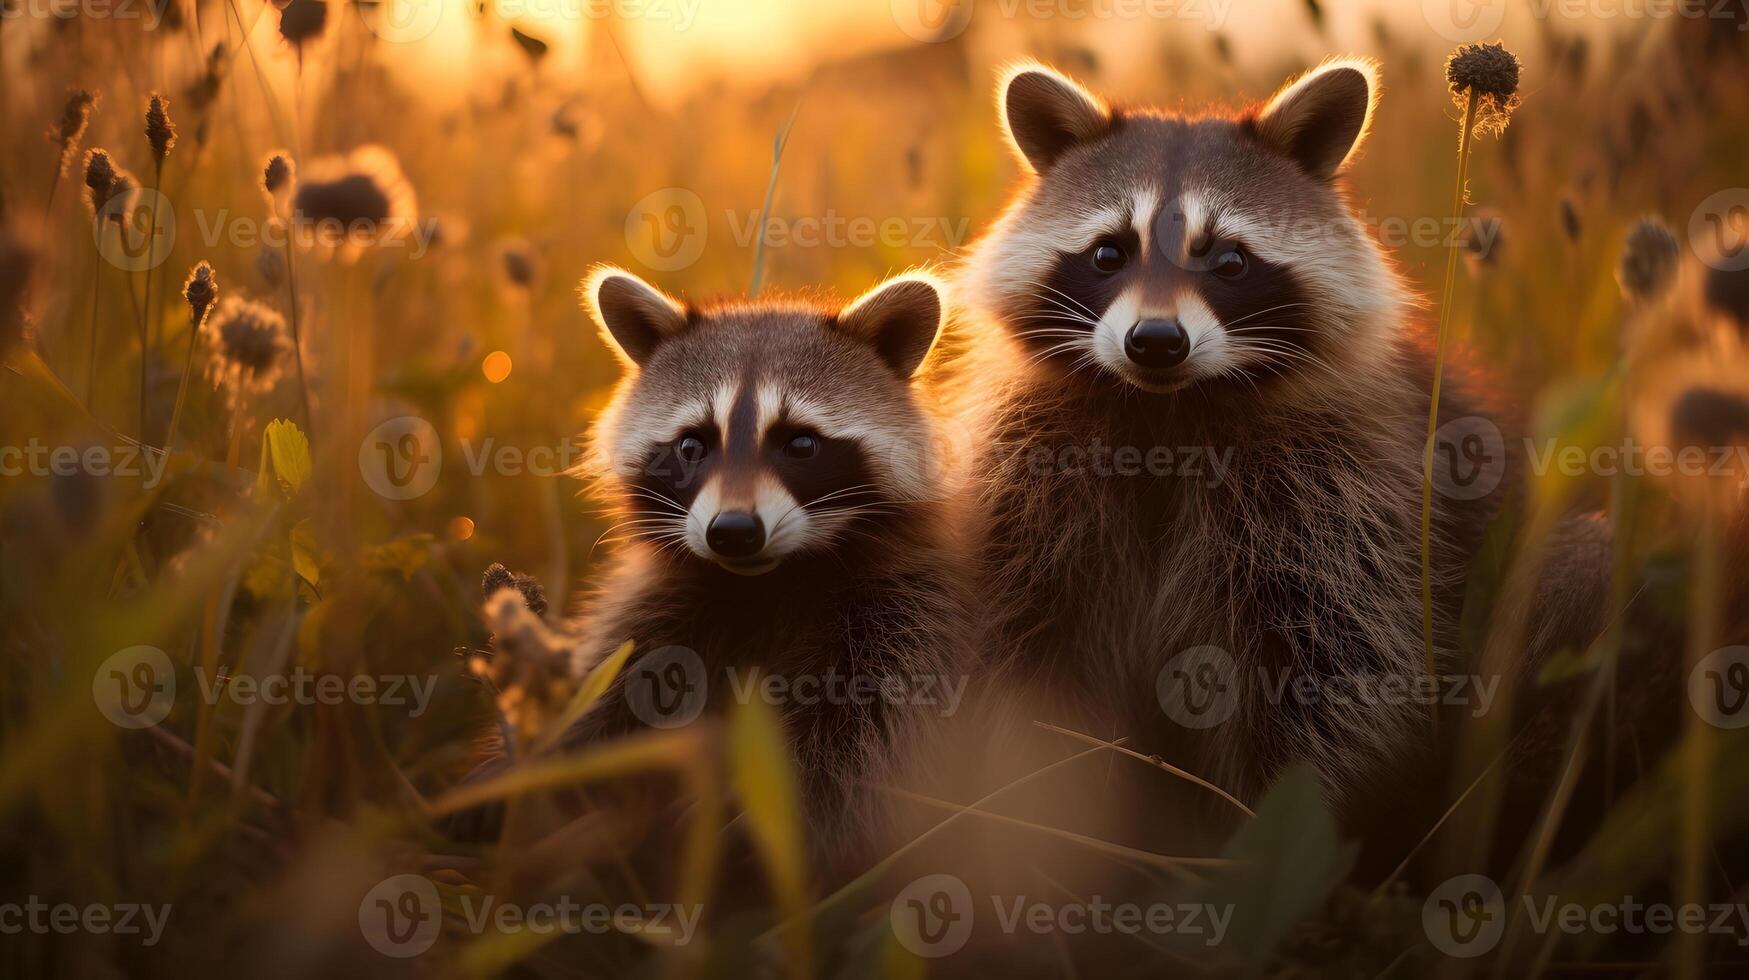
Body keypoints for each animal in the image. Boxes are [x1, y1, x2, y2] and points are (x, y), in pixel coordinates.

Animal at [549, 266, 979, 864]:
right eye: (691, 446)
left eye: (800, 443)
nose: (733, 533)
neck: (769, 583)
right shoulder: (658, 606)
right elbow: (601, 700)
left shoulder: (904, 612)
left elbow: (861, 751)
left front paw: (743, 840)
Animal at [944, 59, 1518, 826]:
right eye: (1108, 252)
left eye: (1229, 261)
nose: (1156, 342)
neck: (1166, 413)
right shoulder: (1032, 483)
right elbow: (1024, 650)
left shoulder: (1335, 502)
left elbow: (1326, 676)